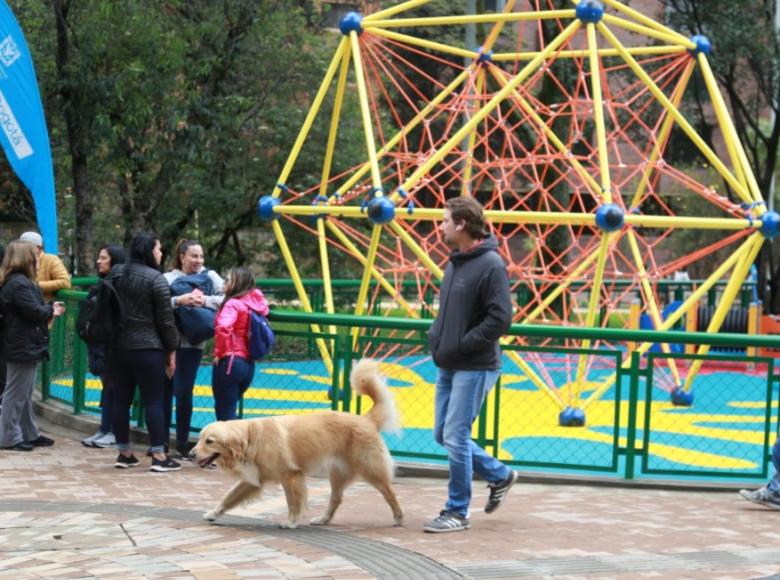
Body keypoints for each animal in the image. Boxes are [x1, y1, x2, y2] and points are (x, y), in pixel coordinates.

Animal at [192, 356, 406, 528]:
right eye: (200, 438)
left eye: (209, 441)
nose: (190, 454)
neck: (252, 438)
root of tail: (366, 419)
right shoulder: (253, 480)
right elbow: (228, 497)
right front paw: (212, 513)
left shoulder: (291, 476)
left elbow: (293, 503)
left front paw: (291, 522)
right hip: (337, 473)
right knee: (336, 499)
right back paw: (323, 519)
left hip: (371, 470)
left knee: (390, 493)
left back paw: (399, 517)